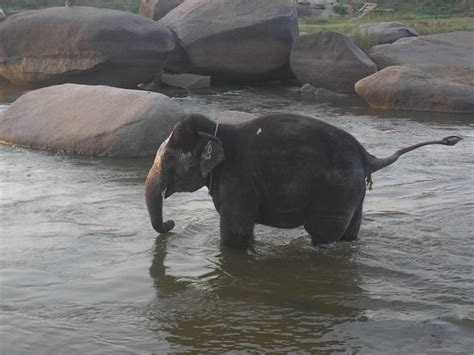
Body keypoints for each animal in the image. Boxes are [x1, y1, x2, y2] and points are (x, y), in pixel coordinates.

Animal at [143, 114, 460, 248]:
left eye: (168, 162)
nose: (171, 223)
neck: (220, 129)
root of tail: (366, 155)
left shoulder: (239, 180)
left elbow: (234, 234)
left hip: (337, 191)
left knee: (323, 233)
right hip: (355, 191)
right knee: (350, 234)